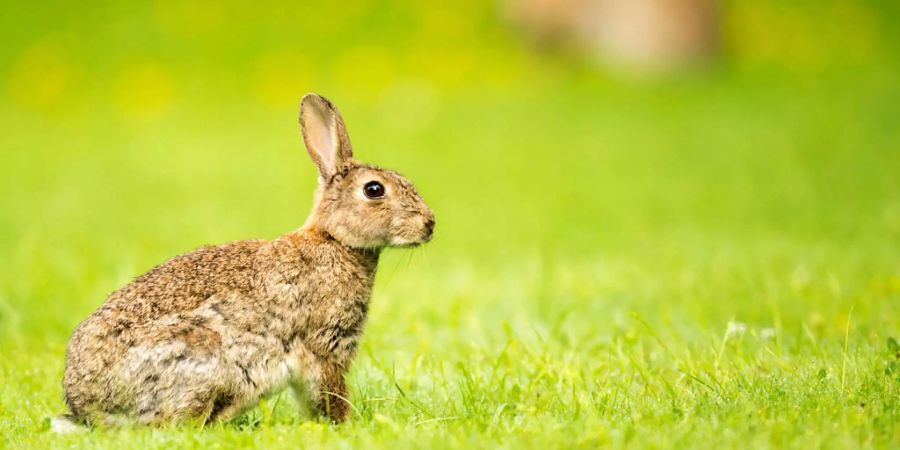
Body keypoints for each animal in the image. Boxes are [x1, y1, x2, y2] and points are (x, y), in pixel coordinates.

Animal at [56, 92, 436, 428]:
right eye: (374, 190)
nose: (429, 224)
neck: (336, 241)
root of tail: (86, 406)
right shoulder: (325, 347)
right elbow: (329, 393)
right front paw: (344, 425)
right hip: (201, 358)